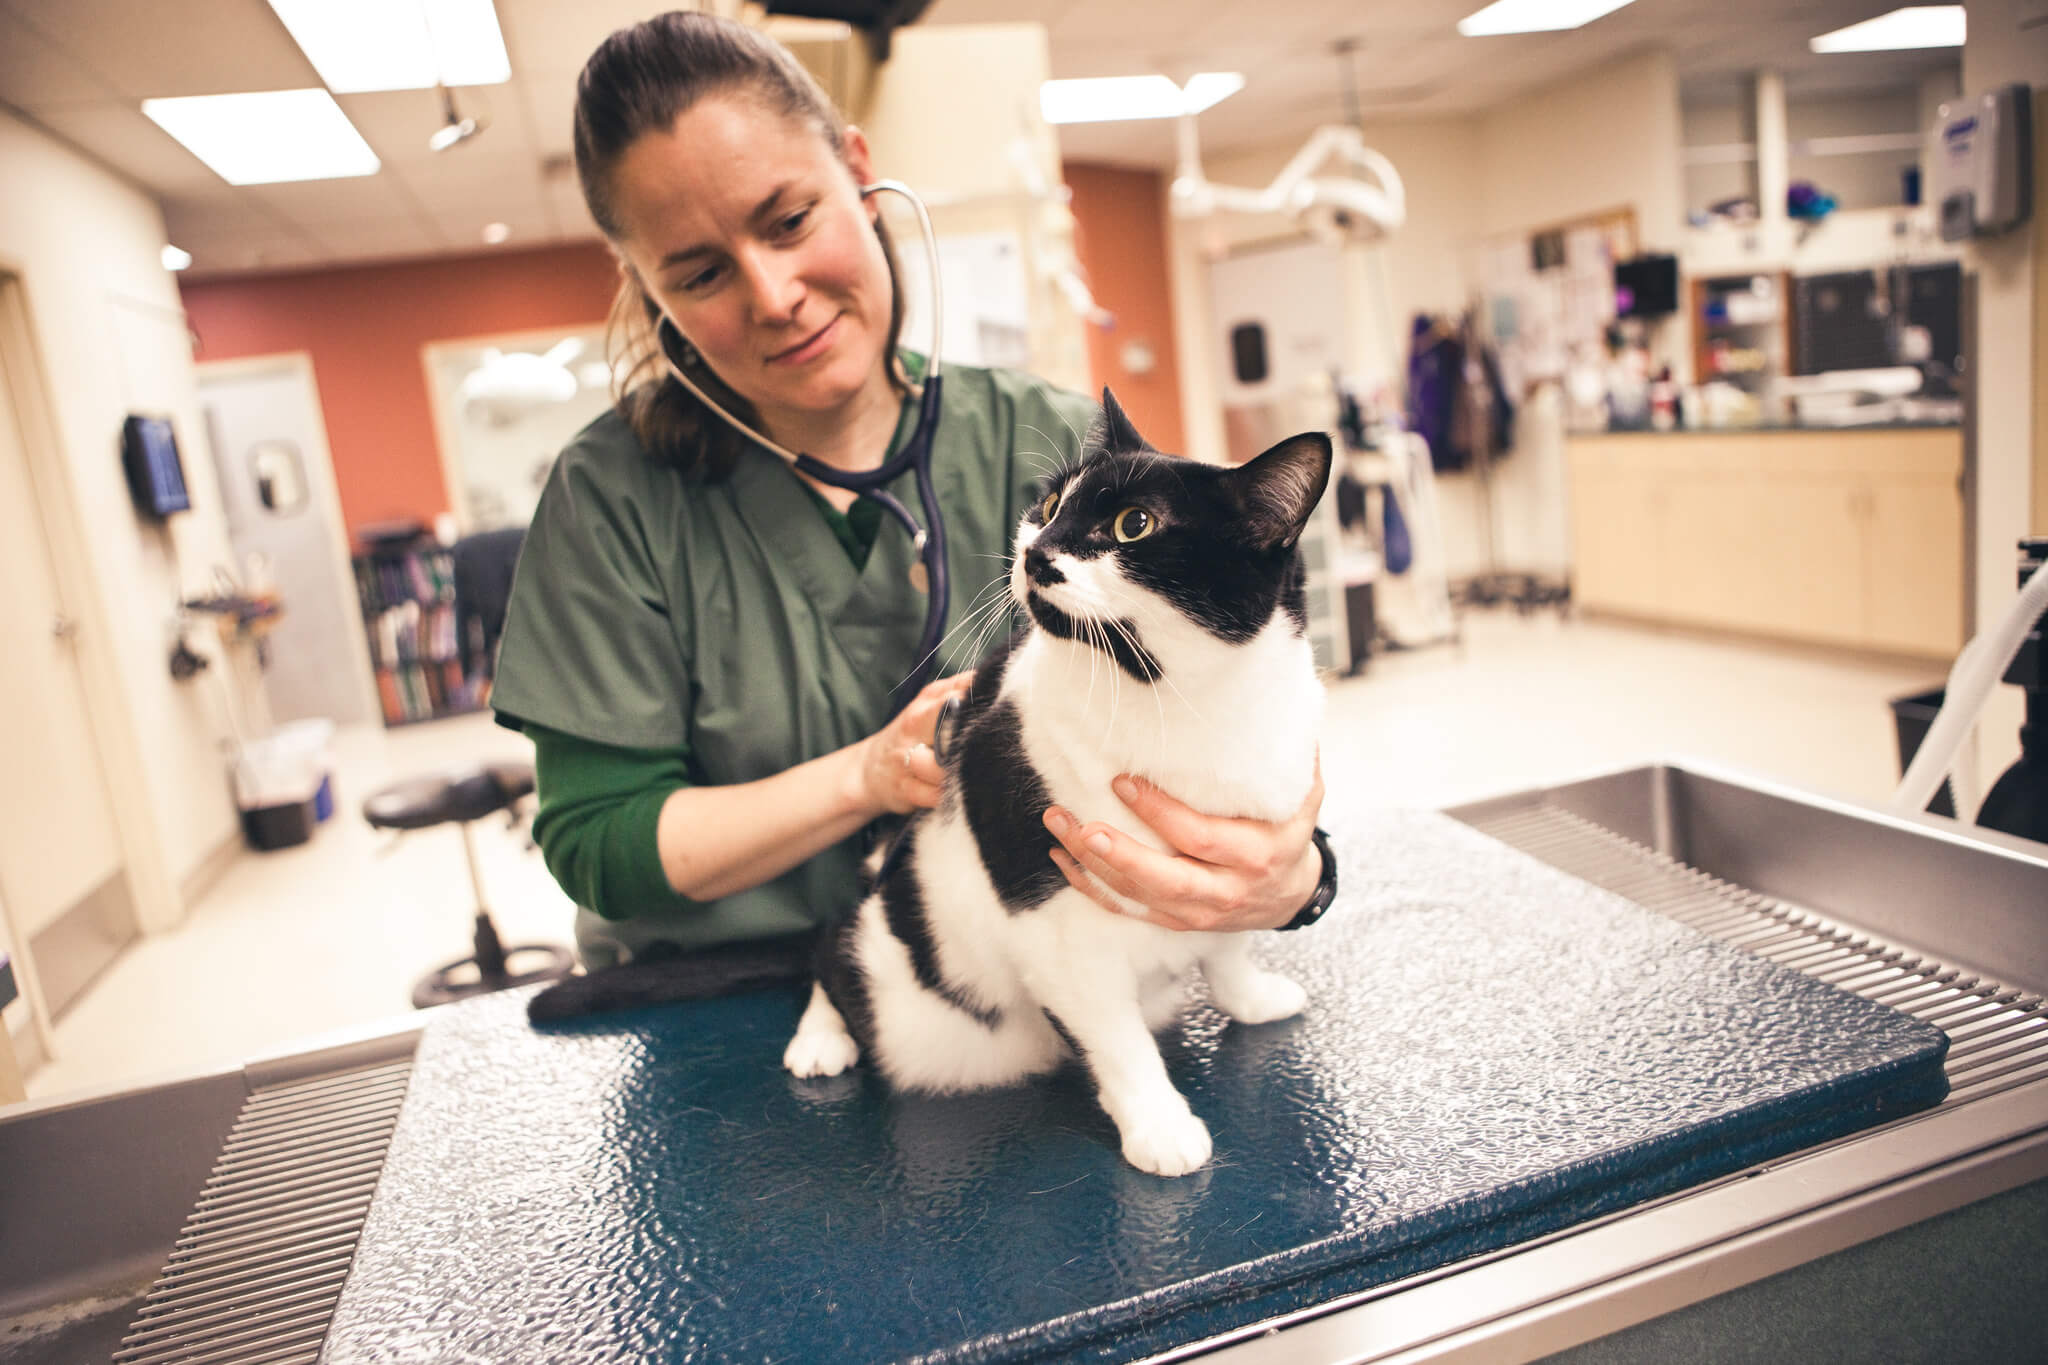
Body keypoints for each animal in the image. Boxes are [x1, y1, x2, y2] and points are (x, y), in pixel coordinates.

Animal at [778, 392, 1327, 1178]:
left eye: (1134, 524)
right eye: (1048, 504)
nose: (1036, 550)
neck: (1177, 704)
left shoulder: (1242, 865)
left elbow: (1228, 947)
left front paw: (1249, 998)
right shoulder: (1056, 930)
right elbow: (1119, 1041)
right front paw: (1160, 1126)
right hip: (898, 981)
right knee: (835, 950)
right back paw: (820, 1038)